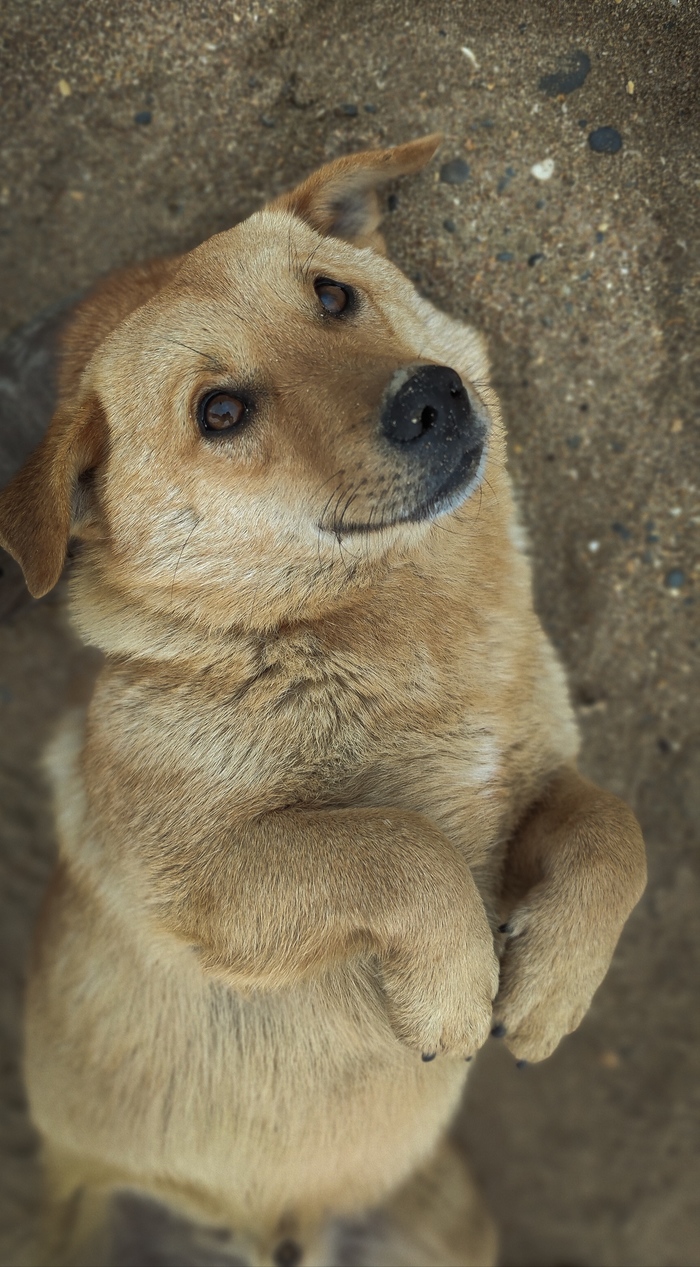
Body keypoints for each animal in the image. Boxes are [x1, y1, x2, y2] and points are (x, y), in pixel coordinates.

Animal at [0, 138, 644, 1267]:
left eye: (333, 294)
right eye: (219, 412)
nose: (432, 396)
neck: (409, 631)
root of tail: (278, 1237)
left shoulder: (536, 786)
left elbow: (617, 832)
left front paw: (552, 984)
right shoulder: (202, 879)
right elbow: (394, 840)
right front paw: (455, 989)